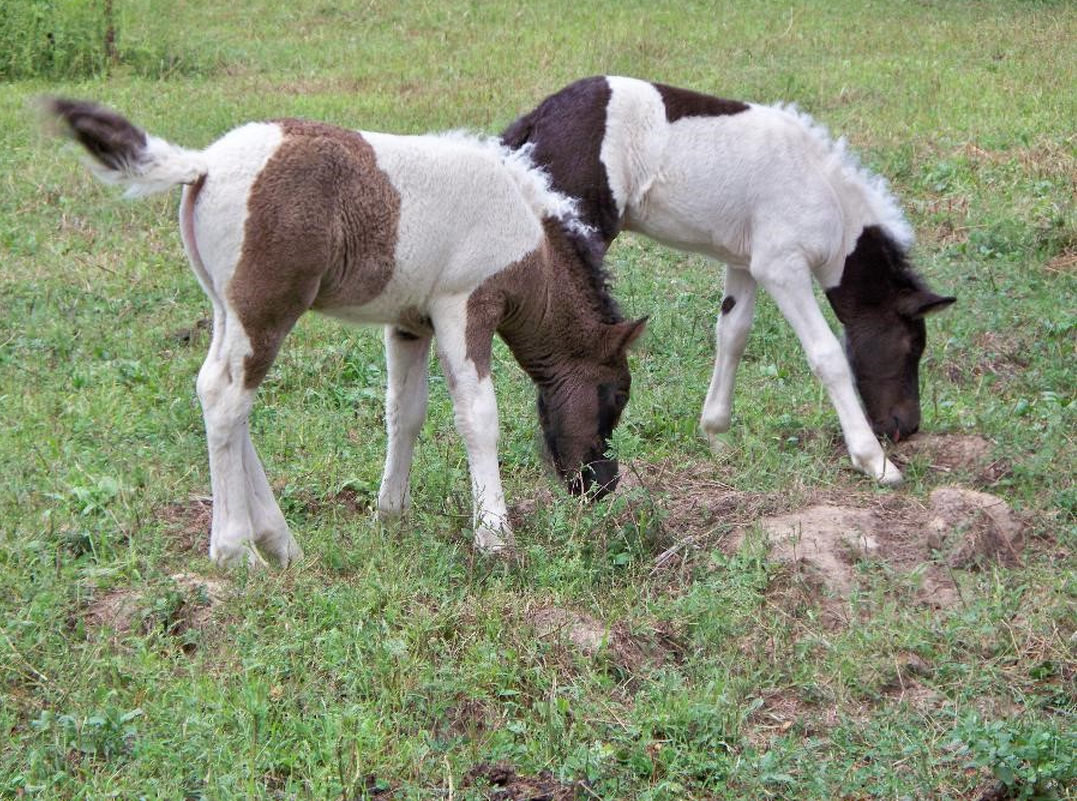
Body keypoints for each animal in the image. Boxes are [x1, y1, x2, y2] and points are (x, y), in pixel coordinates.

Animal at [46, 98, 641, 564]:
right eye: (615, 395)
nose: (602, 485)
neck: (526, 238)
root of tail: (204, 164)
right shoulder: (465, 305)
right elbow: (478, 418)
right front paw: (494, 538)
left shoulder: (409, 323)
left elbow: (405, 414)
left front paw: (391, 515)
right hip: (265, 309)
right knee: (225, 395)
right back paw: (237, 552)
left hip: (226, 308)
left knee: (223, 398)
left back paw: (280, 542)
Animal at [499, 78, 956, 484]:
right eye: (912, 346)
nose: (906, 427)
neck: (826, 195)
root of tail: (537, 117)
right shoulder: (781, 266)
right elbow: (826, 355)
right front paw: (875, 462)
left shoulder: (744, 263)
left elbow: (732, 334)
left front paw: (716, 434)